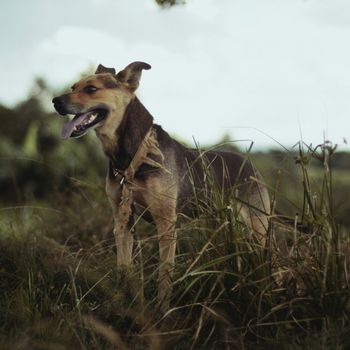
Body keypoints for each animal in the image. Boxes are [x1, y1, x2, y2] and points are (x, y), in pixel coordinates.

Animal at [52, 62, 270, 312]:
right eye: (73, 87)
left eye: (91, 89)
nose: (55, 101)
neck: (134, 154)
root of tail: (251, 165)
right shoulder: (122, 220)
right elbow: (123, 266)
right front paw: (123, 301)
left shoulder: (166, 222)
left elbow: (165, 272)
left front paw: (162, 310)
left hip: (257, 227)